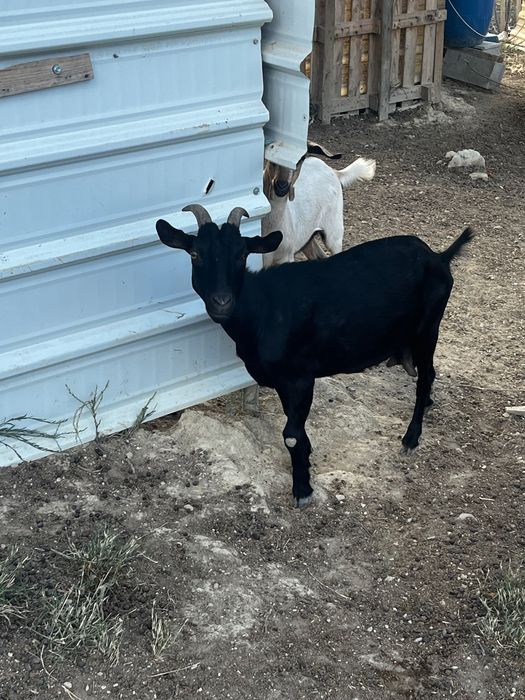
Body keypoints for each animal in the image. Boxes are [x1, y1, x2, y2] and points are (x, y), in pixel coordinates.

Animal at [156, 204, 473, 507]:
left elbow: (291, 435)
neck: (262, 308)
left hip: (428, 328)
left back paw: (411, 437)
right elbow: (296, 428)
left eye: (242, 255)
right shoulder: (284, 382)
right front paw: (306, 462)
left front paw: (302, 490)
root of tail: (439, 257)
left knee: (426, 376)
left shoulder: (300, 377)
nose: (221, 302)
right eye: (195, 253)